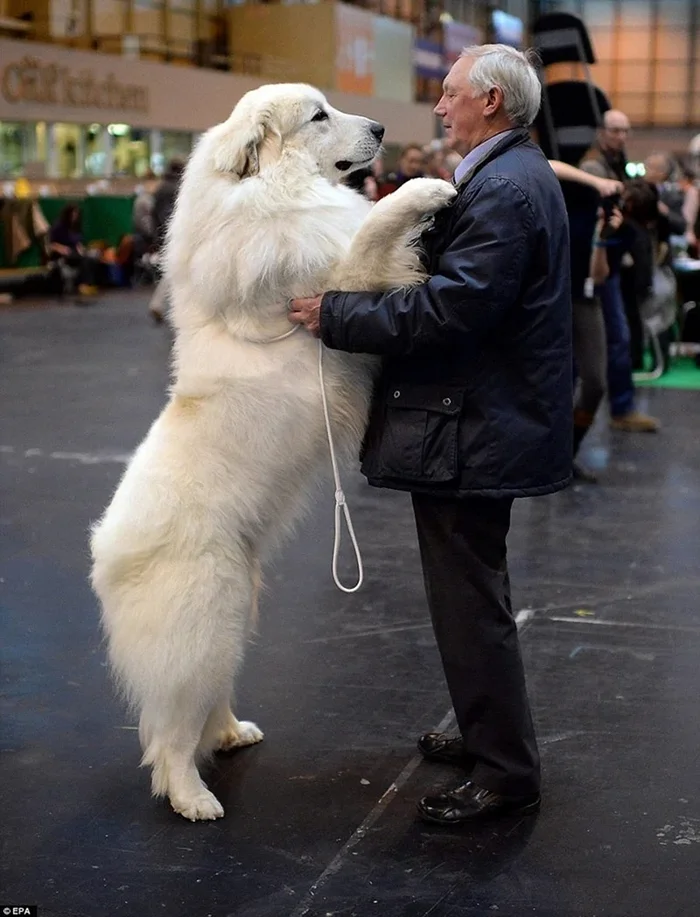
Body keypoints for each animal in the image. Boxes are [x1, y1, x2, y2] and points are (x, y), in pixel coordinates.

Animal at [90, 82, 456, 820]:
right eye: (318, 116)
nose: (383, 128)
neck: (270, 195)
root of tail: (103, 555)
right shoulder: (337, 281)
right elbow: (374, 226)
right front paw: (429, 188)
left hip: (236, 613)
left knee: (206, 703)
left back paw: (232, 734)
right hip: (204, 623)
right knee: (169, 736)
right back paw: (193, 798)